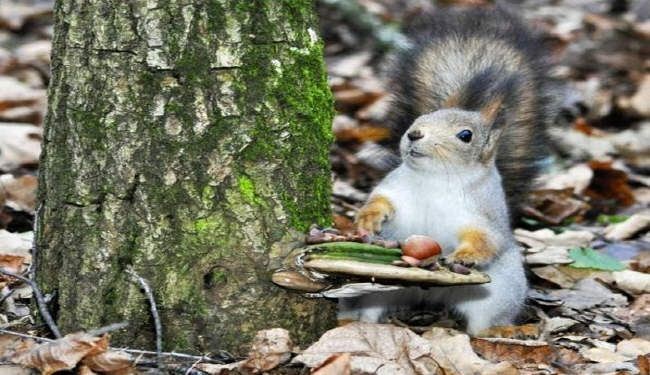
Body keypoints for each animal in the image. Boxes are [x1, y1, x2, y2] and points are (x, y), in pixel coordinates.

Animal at [336, 5, 556, 334]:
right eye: (422, 118)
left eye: (466, 135)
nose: (414, 134)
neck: (435, 179)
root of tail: (427, 294)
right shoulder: (396, 187)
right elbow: (380, 199)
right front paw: (369, 218)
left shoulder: (482, 211)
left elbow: (486, 238)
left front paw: (466, 254)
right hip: (372, 288)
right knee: (371, 307)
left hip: (498, 291)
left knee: (482, 323)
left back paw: (497, 332)